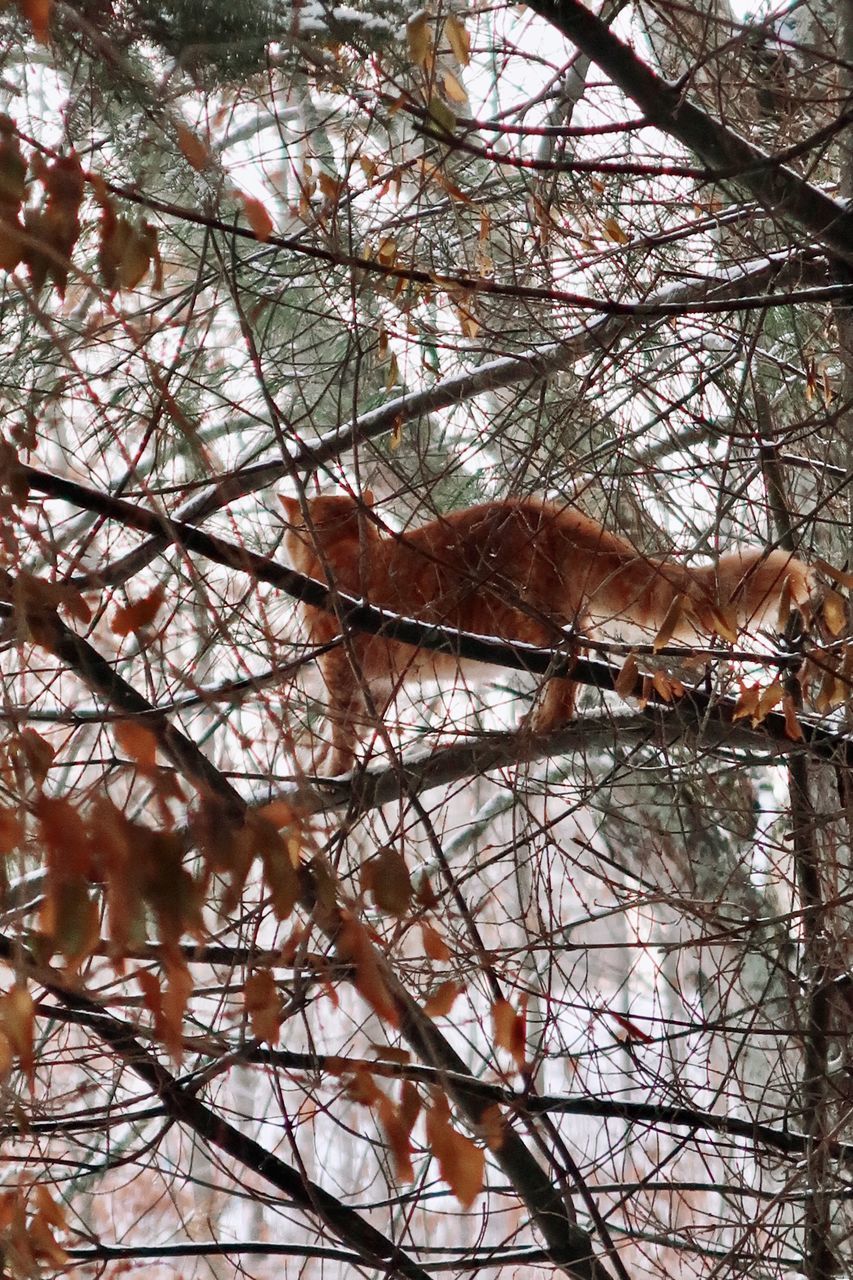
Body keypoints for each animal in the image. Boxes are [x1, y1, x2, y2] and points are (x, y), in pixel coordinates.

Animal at [279, 488, 809, 768]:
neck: (341, 550)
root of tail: (542, 507)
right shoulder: (377, 681)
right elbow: (365, 721)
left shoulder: (341, 665)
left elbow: (341, 727)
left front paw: (338, 772)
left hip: (527, 622)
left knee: (572, 659)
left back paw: (549, 719)